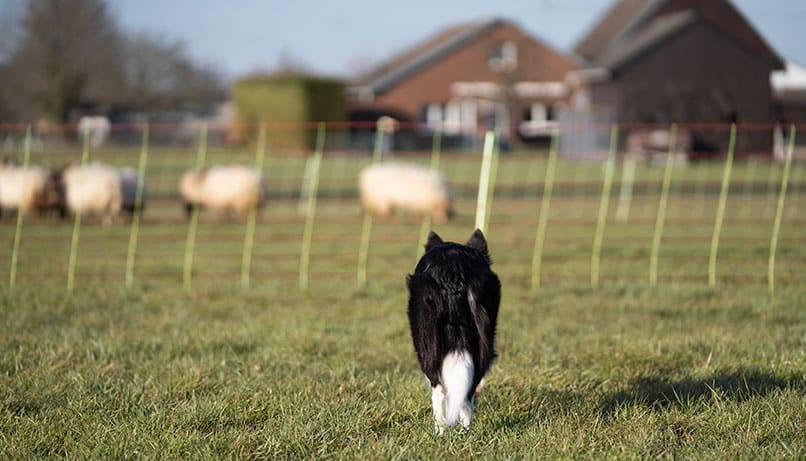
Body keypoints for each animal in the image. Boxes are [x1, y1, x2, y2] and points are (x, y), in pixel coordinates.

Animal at [408, 228, 502, 434]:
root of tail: (453, 271)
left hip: (428, 343)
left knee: (438, 389)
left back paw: (441, 431)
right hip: (483, 337)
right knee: (468, 391)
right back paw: (466, 431)